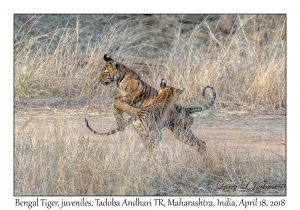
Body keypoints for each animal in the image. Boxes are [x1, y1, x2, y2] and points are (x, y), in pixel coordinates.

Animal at [84, 54, 216, 153]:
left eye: (104, 73)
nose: (99, 81)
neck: (119, 80)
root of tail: (185, 108)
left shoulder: (130, 96)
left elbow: (117, 102)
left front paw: (122, 120)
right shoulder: (122, 98)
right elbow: (116, 107)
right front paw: (120, 122)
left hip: (179, 131)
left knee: (199, 143)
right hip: (182, 133)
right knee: (200, 143)